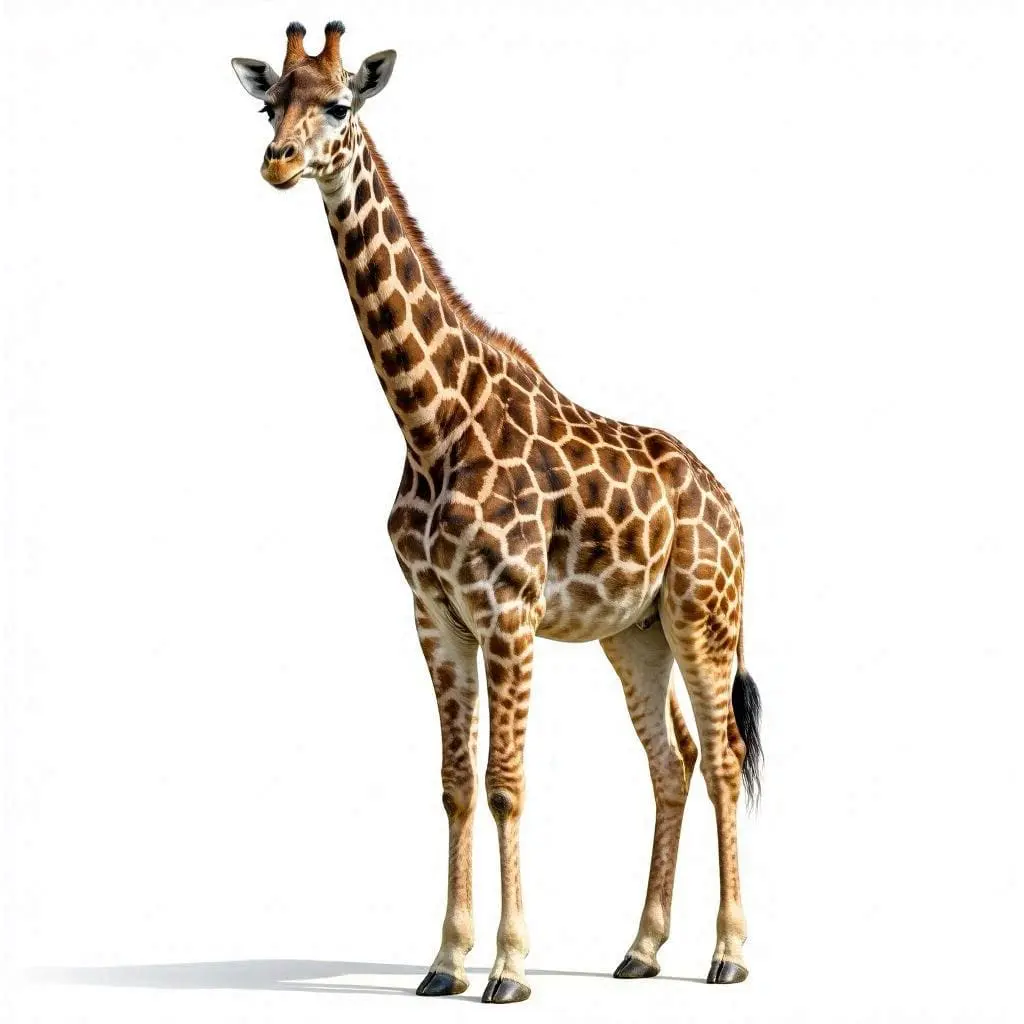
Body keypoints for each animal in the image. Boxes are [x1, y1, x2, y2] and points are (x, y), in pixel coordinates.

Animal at [232, 21, 763, 1004]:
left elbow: (506, 781)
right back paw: (640, 949)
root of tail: (732, 506)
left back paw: (729, 952)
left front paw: (509, 968)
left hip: (705, 617)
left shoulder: (509, 611)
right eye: (268, 105)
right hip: (634, 634)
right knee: (672, 762)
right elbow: (453, 781)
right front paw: (444, 962)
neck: (427, 420)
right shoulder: (435, 614)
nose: (278, 163)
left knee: (724, 758)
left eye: (340, 104)